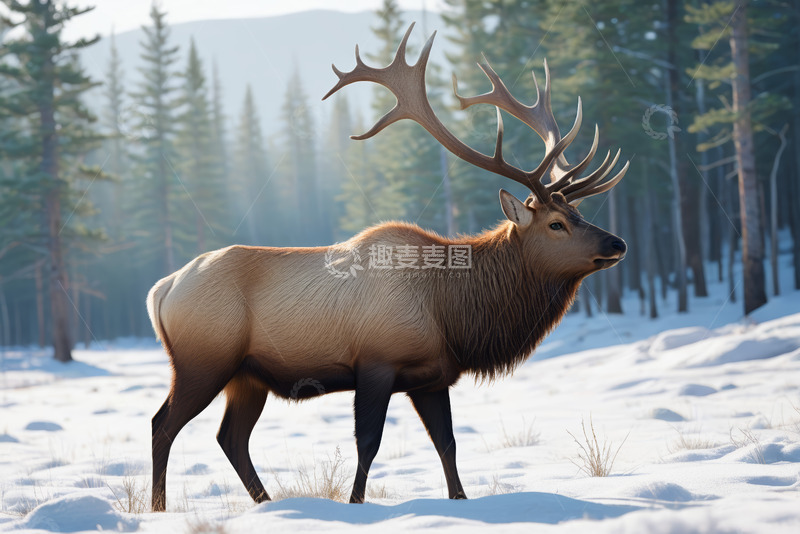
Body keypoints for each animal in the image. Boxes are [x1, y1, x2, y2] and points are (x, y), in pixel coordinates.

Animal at [147, 23, 628, 512]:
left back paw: (266, 502)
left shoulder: (431, 378)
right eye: (555, 224)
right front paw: (356, 503)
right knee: (162, 425)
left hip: (247, 376)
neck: (452, 311)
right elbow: (368, 442)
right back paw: (159, 507)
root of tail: (162, 289)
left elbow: (447, 443)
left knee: (231, 437)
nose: (618, 243)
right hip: (203, 360)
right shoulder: (376, 363)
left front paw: (459, 499)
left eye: (578, 214)